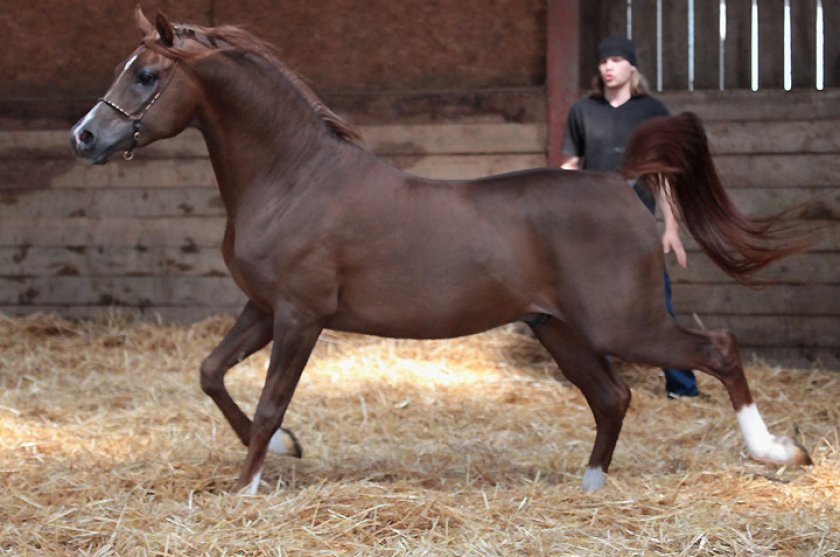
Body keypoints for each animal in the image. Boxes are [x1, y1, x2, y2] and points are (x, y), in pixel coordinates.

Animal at [74, 9, 812, 490]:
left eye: (146, 75)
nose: (84, 136)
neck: (292, 176)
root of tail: (621, 181)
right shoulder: (262, 308)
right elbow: (211, 373)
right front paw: (287, 450)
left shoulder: (300, 317)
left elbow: (267, 402)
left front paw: (247, 486)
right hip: (559, 328)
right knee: (612, 397)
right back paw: (591, 485)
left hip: (621, 323)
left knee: (718, 350)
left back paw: (778, 453)